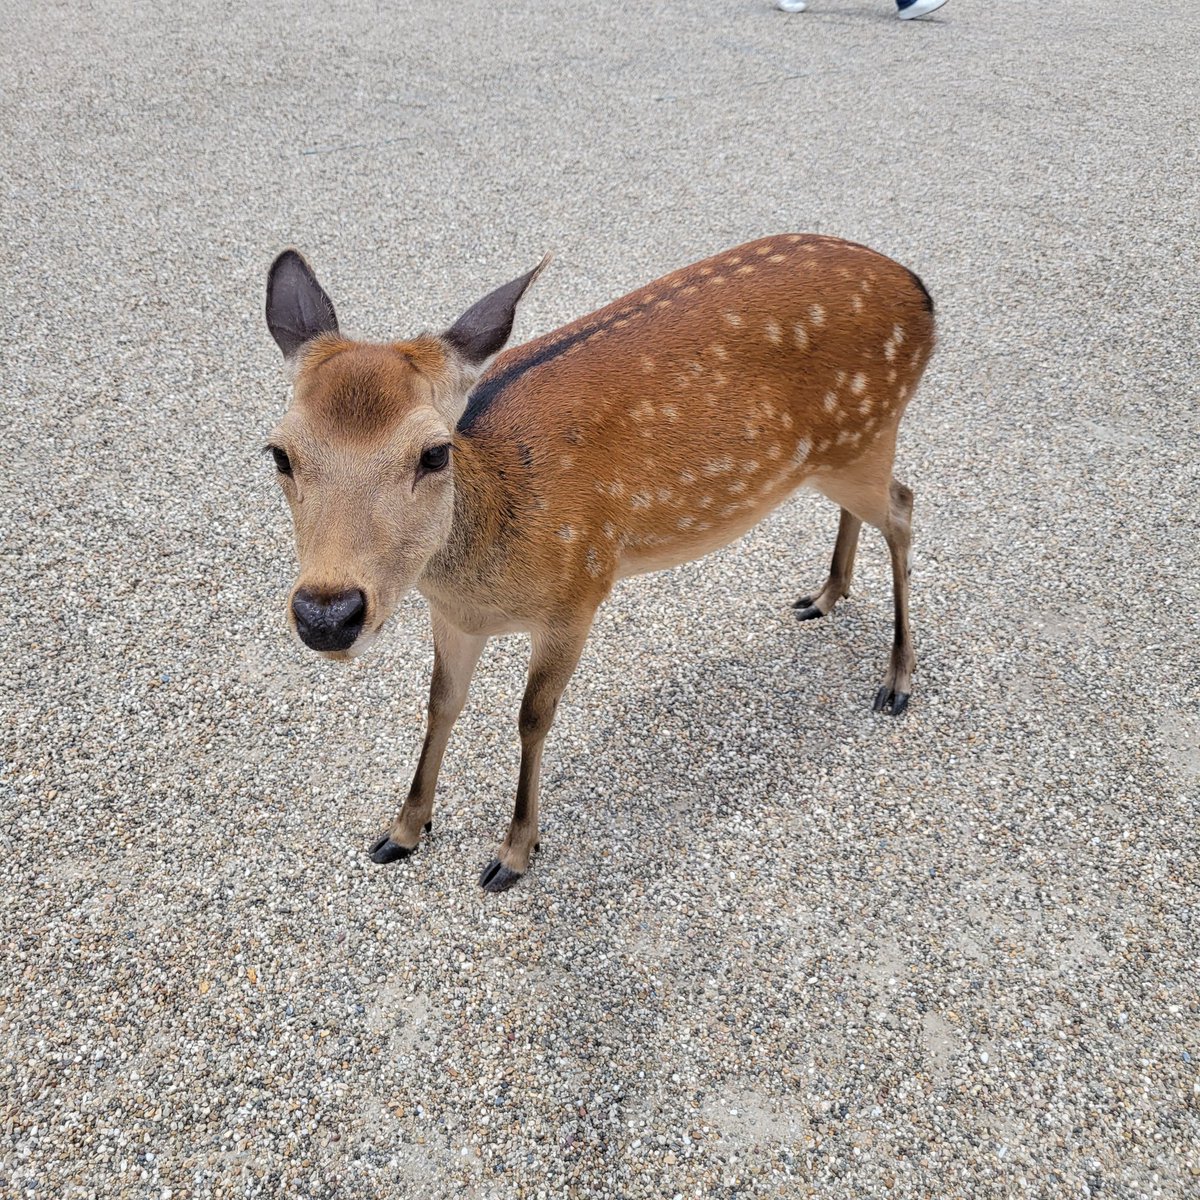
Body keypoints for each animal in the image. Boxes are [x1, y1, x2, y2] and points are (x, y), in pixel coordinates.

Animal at [262, 234, 936, 892]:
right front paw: (402, 832)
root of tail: (922, 295)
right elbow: (441, 703)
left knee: (904, 507)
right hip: (840, 454)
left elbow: (532, 717)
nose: (327, 614)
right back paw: (824, 595)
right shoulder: (451, 617)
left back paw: (897, 682)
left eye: (434, 453)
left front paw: (513, 853)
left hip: (866, 436)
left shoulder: (578, 589)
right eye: (279, 453)